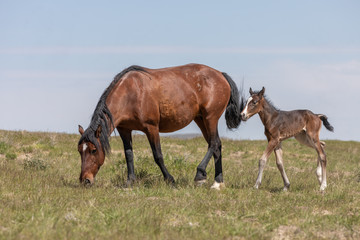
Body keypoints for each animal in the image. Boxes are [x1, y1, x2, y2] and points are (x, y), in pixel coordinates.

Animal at [78, 63, 245, 189]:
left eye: (93, 150)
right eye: (80, 151)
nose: (85, 180)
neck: (130, 93)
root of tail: (220, 74)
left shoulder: (151, 128)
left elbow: (158, 155)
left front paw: (170, 179)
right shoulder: (124, 130)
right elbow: (128, 155)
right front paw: (130, 181)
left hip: (211, 117)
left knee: (214, 143)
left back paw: (200, 175)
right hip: (200, 119)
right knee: (216, 145)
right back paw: (218, 182)